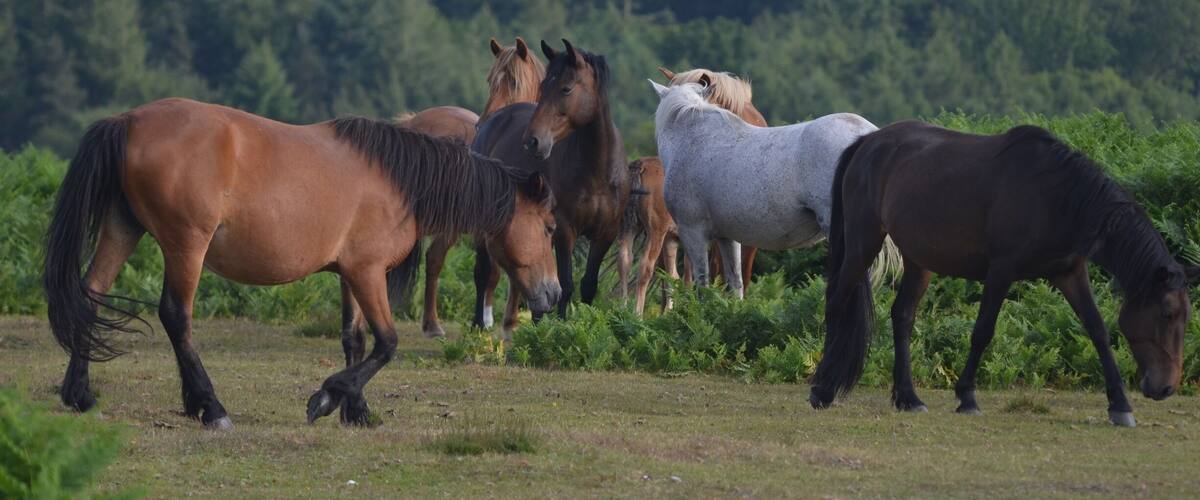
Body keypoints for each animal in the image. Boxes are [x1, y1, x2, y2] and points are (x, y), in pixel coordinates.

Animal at [43, 98, 560, 428]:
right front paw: (327, 398)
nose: (554, 294)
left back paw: (80, 395)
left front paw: (356, 409)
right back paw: (211, 408)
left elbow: (355, 340)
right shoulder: (368, 272)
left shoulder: (351, 274)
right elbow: (387, 344)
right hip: (186, 245)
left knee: (90, 297)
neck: (399, 179)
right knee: (176, 317)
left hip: (123, 228)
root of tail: (129, 120)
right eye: (551, 228)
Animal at [473, 39, 631, 334]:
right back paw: (479, 323)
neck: (597, 171)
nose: (533, 141)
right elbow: (566, 284)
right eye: (544, 86)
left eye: (566, 88)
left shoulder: (605, 233)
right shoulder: (564, 230)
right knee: (484, 271)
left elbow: (588, 285)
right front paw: (559, 327)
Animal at [810, 120, 1195, 427]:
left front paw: (1120, 405)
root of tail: (867, 143)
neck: (1056, 195)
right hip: (863, 242)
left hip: (919, 260)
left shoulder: (1070, 273)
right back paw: (822, 390)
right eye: (1167, 313)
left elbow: (1098, 331)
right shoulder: (1001, 270)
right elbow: (983, 332)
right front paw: (967, 397)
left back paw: (909, 397)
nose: (1165, 387)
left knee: (902, 316)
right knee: (836, 302)